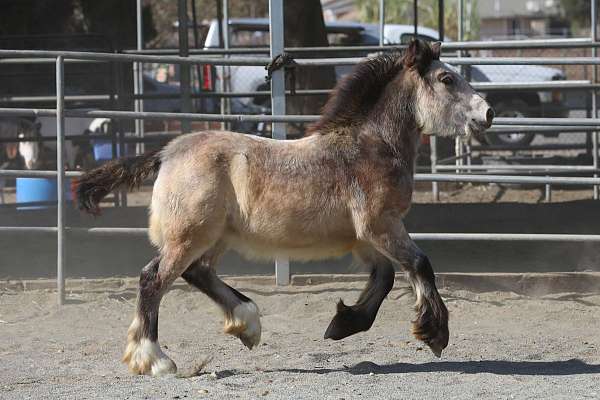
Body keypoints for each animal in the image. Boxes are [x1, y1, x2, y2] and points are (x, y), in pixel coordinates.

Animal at [72, 40, 492, 378]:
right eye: (446, 79)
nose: (487, 113)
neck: (368, 147)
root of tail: (166, 153)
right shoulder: (381, 226)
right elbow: (420, 264)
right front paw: (435, 333)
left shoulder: (364, 238)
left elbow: (386, 278)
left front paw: (342, 323)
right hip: (189, 236)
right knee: (153, 280)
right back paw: (155, 359)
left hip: (214, 237)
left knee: (197, 272)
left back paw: (247, 324)